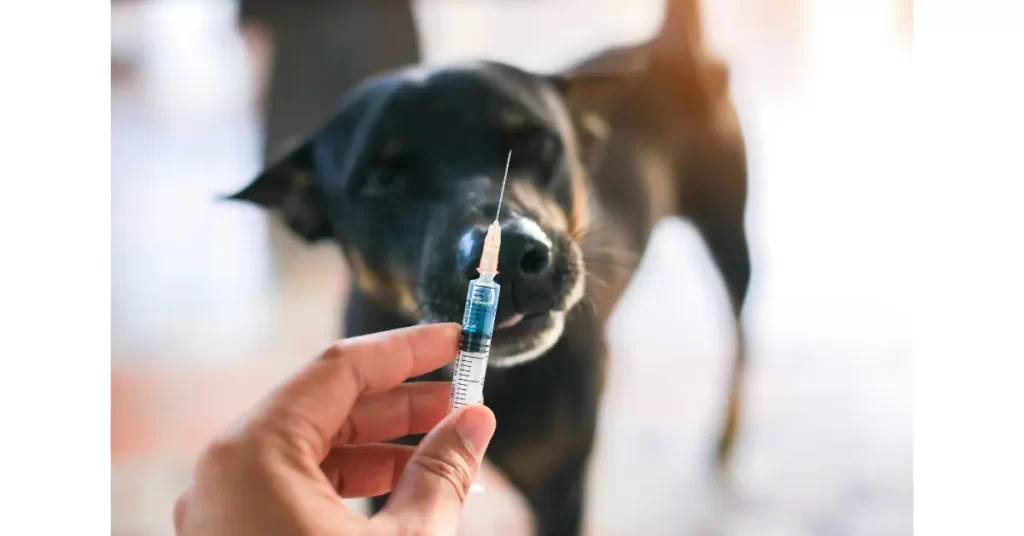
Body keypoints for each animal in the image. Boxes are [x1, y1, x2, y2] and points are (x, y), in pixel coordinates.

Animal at [228, 8, 749, 536]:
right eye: (381, 179)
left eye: (540, 145)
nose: (514, 254)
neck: (496, 379)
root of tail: (670, 42)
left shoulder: (562, 491)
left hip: (730, 235)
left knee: (741, 337)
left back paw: (727, 432)